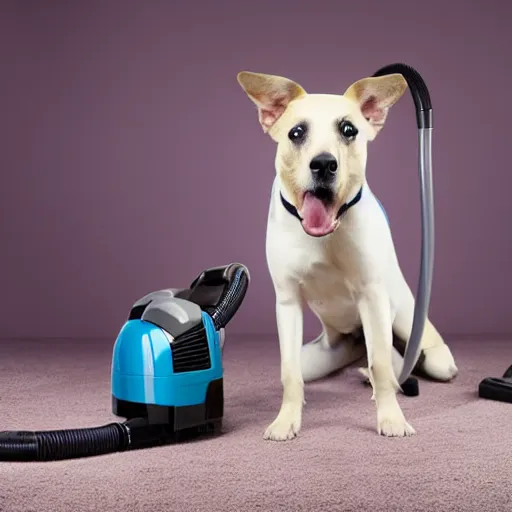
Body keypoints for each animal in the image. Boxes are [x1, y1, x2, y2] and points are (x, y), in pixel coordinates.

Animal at [238, 70, 458, 442]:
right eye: (296, 132)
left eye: (348, 129)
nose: (324, 164)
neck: (323, 233)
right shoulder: (287, 303)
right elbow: (289, 373)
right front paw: (286, 421)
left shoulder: (372, 296)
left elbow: (381, 365)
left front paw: (391, 419)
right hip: (326, 353)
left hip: (407, 323)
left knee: (405, 358)